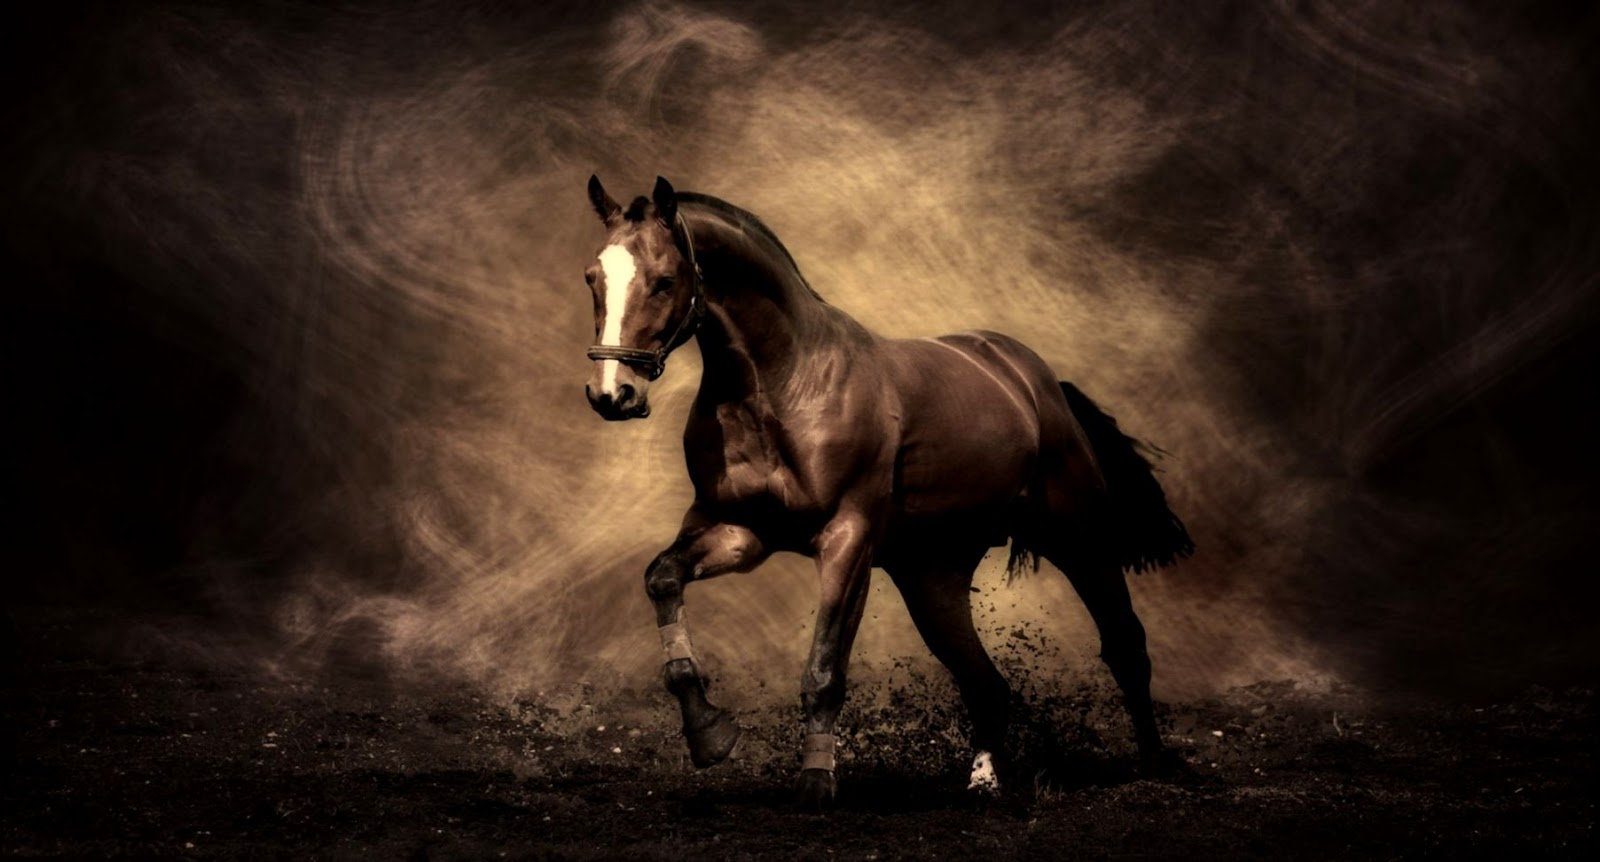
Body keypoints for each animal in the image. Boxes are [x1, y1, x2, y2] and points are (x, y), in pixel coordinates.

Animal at [580, 175, 1194, 809]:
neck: (782, 386)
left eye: (664, 280)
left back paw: (1157, 767)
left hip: (1080, 539)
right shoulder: (738, 532)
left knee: (1124, 645)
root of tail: (1035, 381)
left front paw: (816, 783)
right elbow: (662, 580)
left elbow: (824, 670)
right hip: (933, 577)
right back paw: (984, 783)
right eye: (593, 277)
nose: (612, 394)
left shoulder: (847, 541)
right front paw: (710, 735)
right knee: (986, 683)